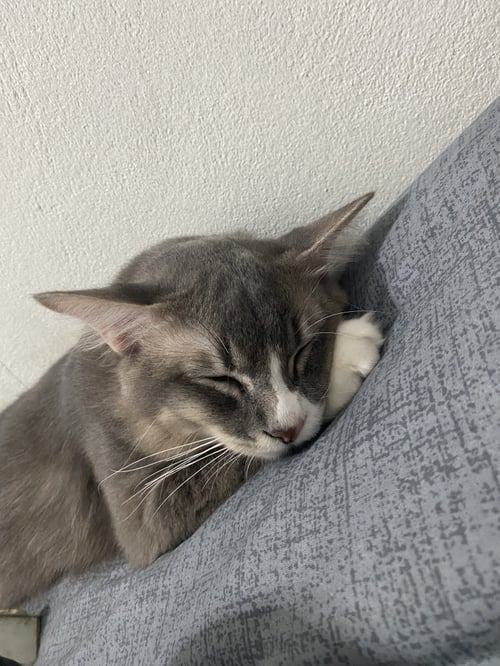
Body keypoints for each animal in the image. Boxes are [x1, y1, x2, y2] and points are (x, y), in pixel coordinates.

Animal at [0, 193, 382, 608]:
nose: (289, 429)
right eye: (221, 379)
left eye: (301, 352)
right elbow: (231, 458)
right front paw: (349, 354)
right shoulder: (141, 509)